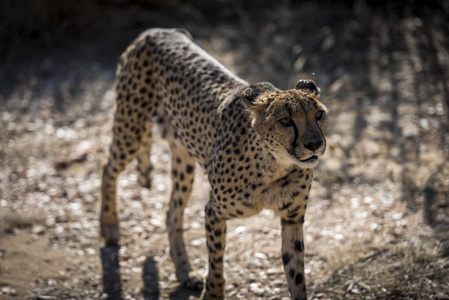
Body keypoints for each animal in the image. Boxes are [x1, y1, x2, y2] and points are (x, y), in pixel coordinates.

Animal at [100, 28, 328, 300]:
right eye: (286, 121)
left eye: (319, 115)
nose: (315, 144)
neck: (275, 166)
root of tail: (157, 31)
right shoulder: (214, 212)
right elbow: (216, 264)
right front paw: (213, 293)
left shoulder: (292, 218)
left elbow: (297, 276)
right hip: (130, 131)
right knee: (107, 169)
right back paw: (109, 227)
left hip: (183, 163)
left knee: (172, 214)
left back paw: (185, 272)